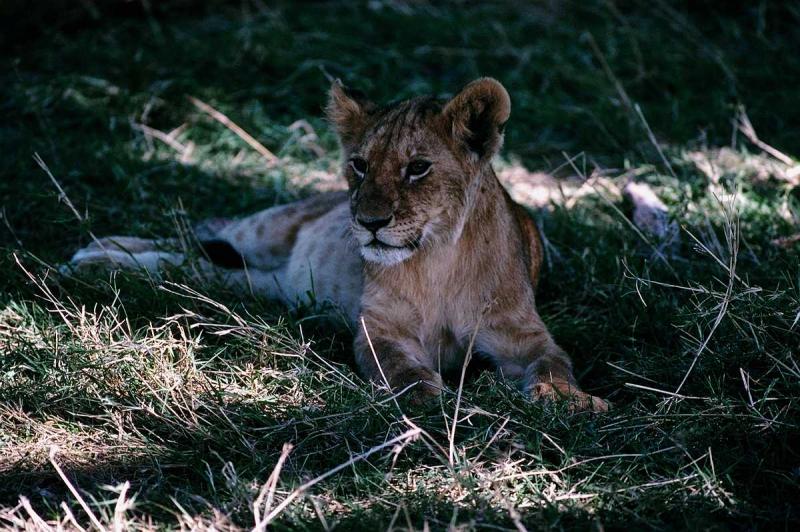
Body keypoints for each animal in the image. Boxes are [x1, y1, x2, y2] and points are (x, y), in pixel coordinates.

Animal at [68, 78, 608, 412]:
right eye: (360, 165)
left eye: (418, 168)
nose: (369, 223)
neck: (436, 260)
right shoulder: (379, 328)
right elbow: (400, 367)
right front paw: (421, 397)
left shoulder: (522, 333)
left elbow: (555, 361)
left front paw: (567, 399)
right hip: (265, 229)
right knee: (196, 232)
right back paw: (98, 254)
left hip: (267, 285)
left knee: (203, 267)